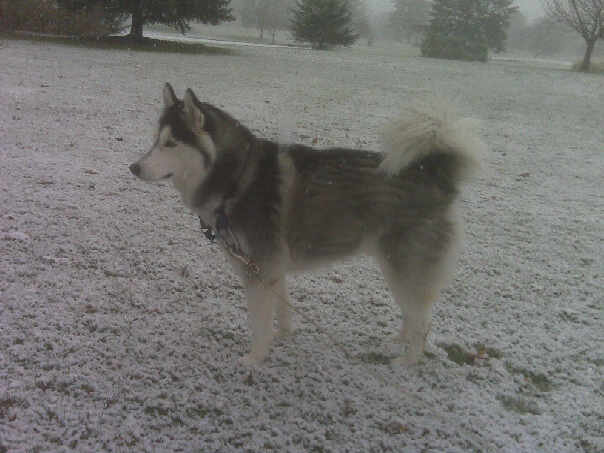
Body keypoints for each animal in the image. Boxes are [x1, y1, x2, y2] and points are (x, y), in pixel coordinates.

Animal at [129, 83, 483, 366]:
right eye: (155, 140)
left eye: (171, 144)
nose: (134, 167)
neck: (236, 180)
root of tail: (432, 171)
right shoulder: (271, 269)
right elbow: (281, 309)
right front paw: (284, 335)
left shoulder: (258, 270)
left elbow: (259, 324)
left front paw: (254, 359)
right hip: (394, 266)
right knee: (413, 314)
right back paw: (398, 341)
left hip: (404, 265)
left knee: (423, 321)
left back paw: (406, 362)